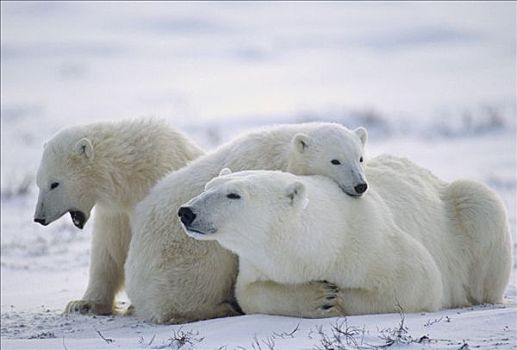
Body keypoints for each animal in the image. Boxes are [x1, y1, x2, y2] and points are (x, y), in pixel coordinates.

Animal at [33, 119, 203, 314]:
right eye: (38, 183)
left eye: (54, 184)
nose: (39, 218)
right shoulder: (115, 213)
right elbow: (108, 250)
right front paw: (82, 304)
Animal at [124, 122, 366, 322]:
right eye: (335, 160)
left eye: (360, 158)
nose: (360, 185)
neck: (282, 153)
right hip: (180, 259)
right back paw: (219, 309)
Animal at [179, 164, 510, 318]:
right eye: (208, 186)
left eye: (233, 195)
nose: (186, 212)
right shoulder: (258, 264)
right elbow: (249, 293)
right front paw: (318, 298)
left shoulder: (371, 242)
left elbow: (417, 282)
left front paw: (336, 299)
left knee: (480, 201)